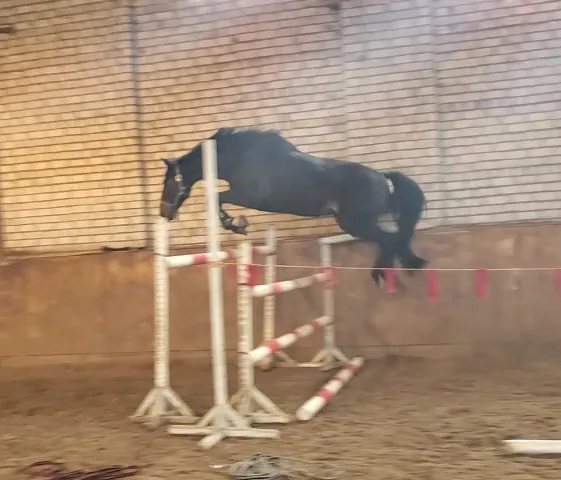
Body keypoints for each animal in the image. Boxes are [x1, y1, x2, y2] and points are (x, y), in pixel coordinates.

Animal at [159, 127, 428, 286]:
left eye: (170, 180)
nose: (164, 212)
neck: (241, 157)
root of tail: (382, 177)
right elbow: (218, 198)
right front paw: (238, 224)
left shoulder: (248, 195)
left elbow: (218, 198)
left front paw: (237, 225)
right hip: (357, 223)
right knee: (395, 237)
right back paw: (406, 266)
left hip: (356, 223)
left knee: (389, 239)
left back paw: (384, 273)